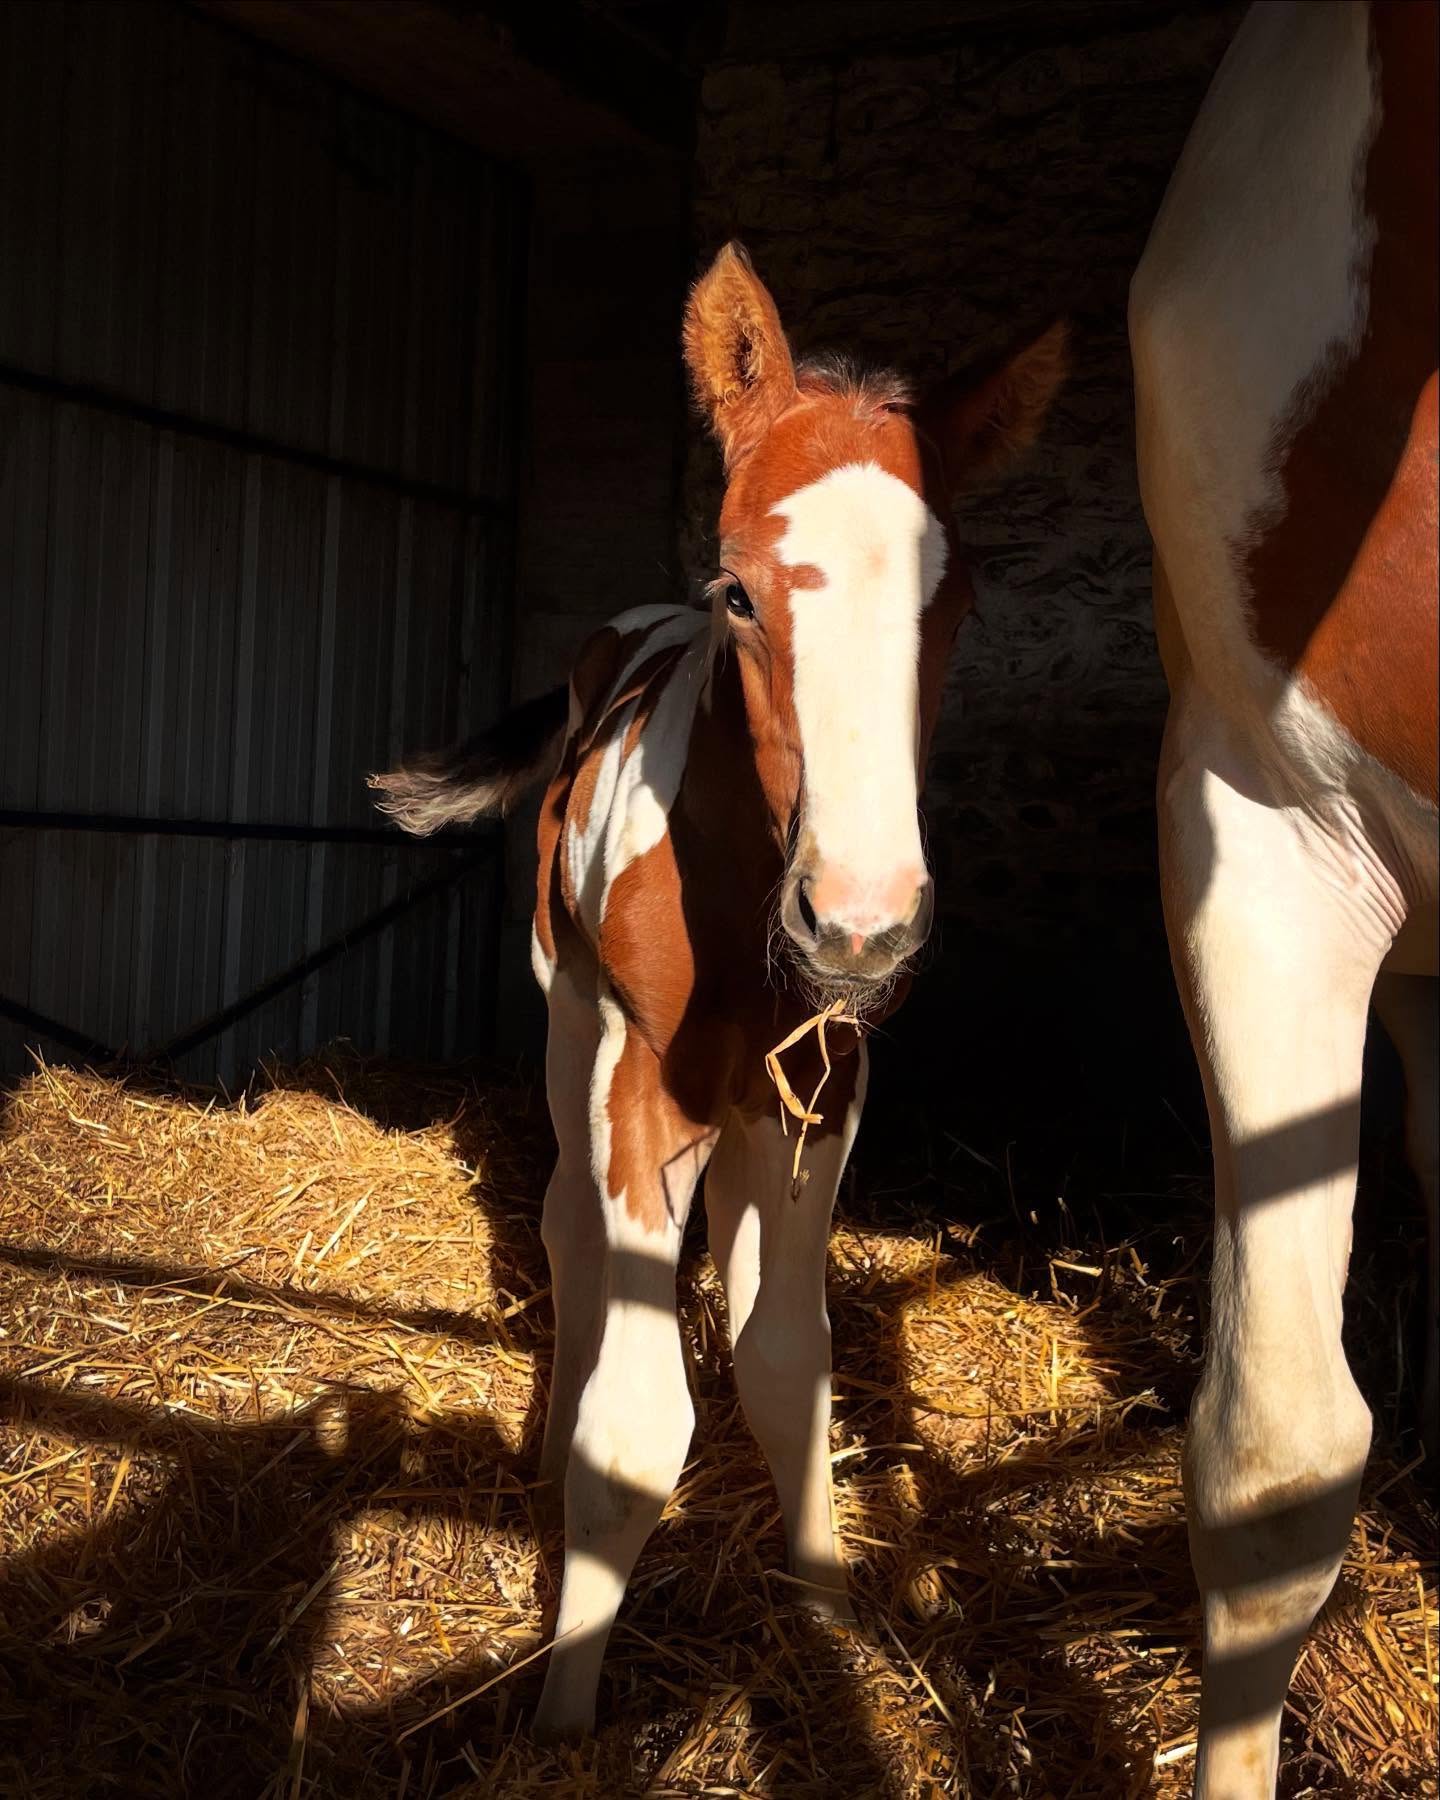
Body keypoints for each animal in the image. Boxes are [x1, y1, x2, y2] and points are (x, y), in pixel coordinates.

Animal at [373, 242, 1065, 1739]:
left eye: (955, 608)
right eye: (742, 593)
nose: (860, 924)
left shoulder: (825, 1088)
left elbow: (790, 1359)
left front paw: (828, 1617)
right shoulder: (641, 1078)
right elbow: (637, 1420)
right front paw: (566, 1708)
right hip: (574, 1024)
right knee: (569, 1226)